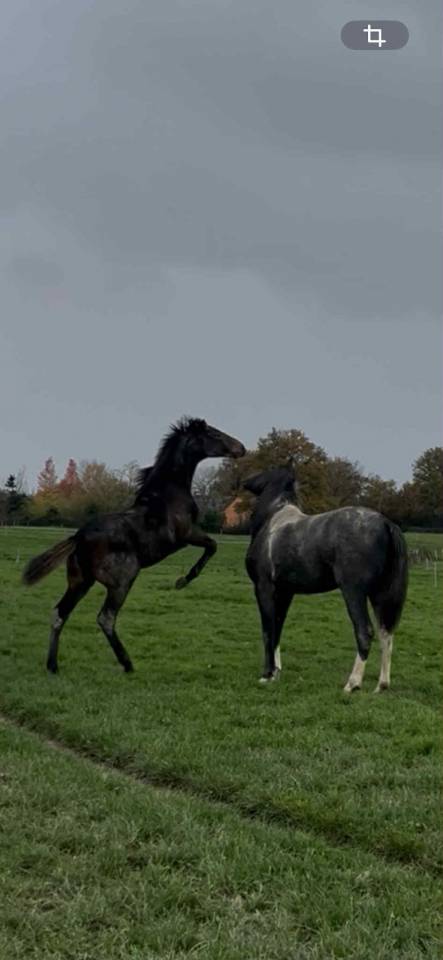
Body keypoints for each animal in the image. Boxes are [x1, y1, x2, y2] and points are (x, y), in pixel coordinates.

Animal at [22, 418, 245, 673]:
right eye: (215, 434)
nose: (241, 448)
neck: (169, 494)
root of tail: (78, 538)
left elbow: (212, 546)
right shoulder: (188, 534)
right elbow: (212, 546)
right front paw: (182, 581)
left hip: (80, 582)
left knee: (59, 613)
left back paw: (53, 665)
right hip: (122, 580)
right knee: (105, 618)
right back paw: (127, 664)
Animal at [244, 464, 408, 692]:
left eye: (266, 471)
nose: (245, 481)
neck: (273, 521)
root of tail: (384, 523)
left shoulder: (264, 588)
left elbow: (267, 630)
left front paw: (267, 675)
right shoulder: (285, 592)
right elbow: (277, 629)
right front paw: (275, 673)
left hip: (354, 592)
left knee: (365, 631)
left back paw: (352, 684)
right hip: (380, 595)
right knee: (386, 633)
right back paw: (381, 686)